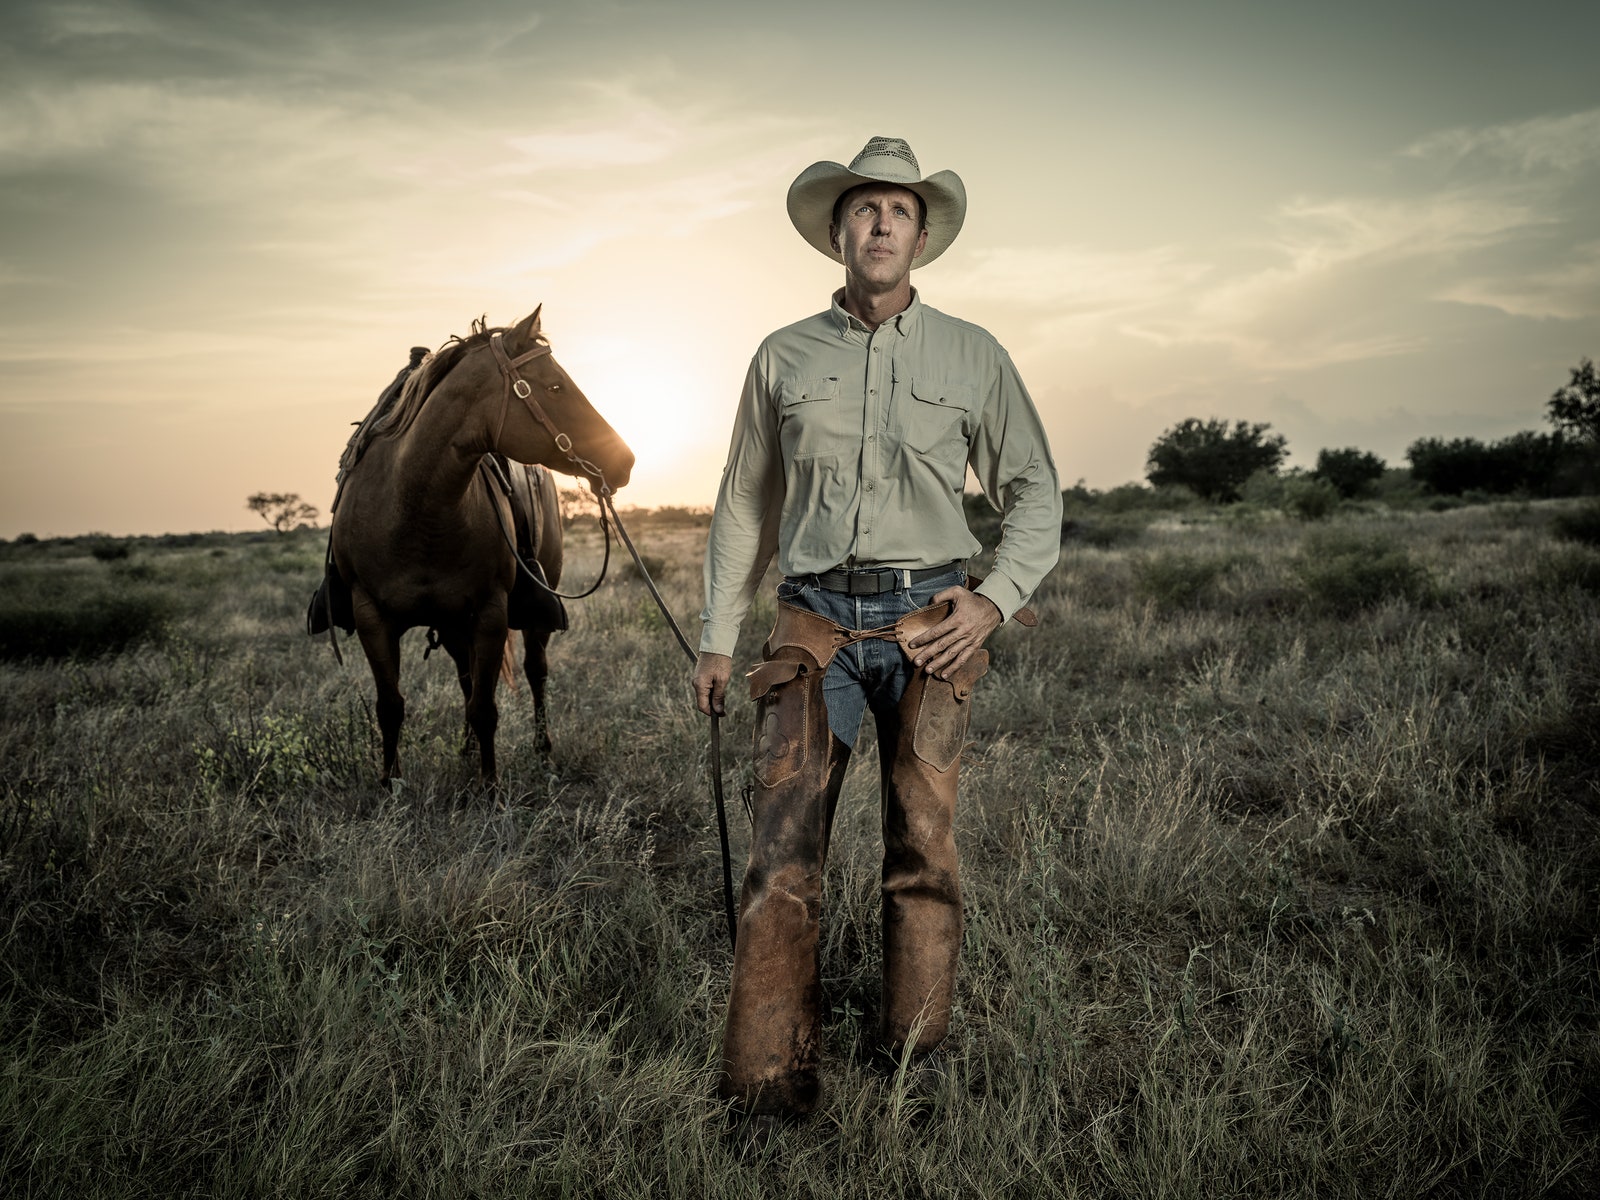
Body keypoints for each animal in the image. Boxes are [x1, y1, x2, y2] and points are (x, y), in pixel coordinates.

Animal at [329, 305, 630, 784]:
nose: (625, 461)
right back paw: (466, 751)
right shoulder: (371, 616)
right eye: (555, 386)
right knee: (466, 677)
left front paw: (488, 787)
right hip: (453, 623)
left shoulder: (490, 613)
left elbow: (486, 708)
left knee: (535, 671)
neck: (415, 509)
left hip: (529, 610)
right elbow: (391, 706)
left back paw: (541, 752)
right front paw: (390, 783)